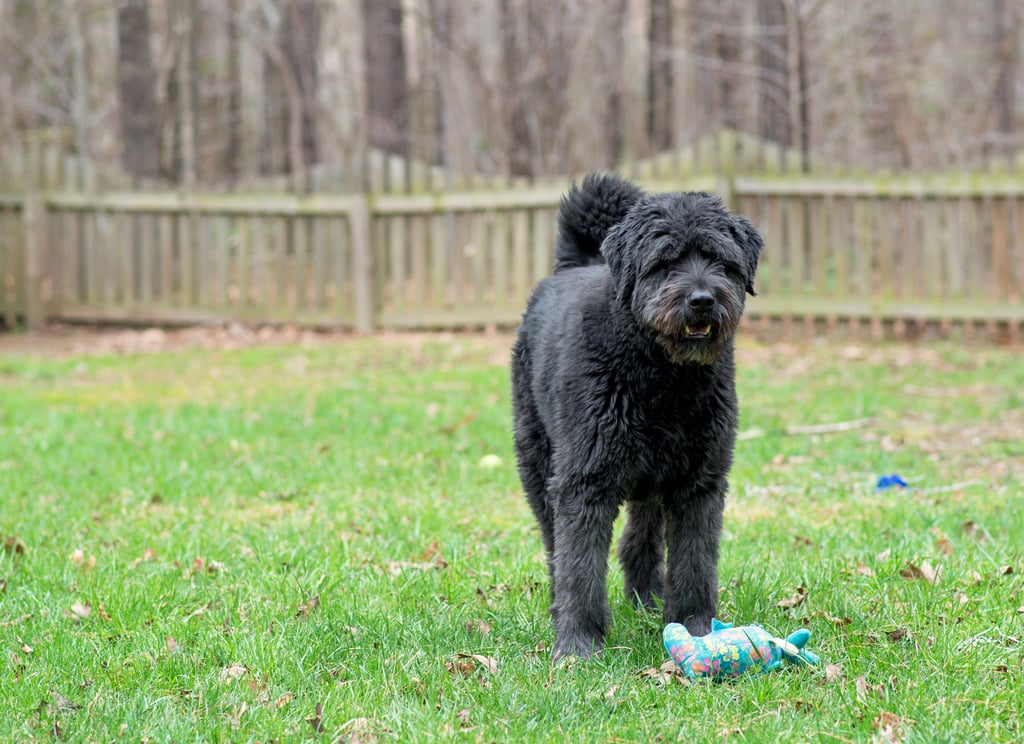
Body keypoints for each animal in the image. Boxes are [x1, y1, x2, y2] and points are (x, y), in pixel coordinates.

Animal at [512, 172, 761, 659]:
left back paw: (646, 597)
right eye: (665, 262)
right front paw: (578, 643)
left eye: (720, 260)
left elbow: (695, 561)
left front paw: (696, 629)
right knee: (554, 546)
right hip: (537, 462)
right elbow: (579, 567)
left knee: (639, 538)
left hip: (650, 477)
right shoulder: (584, 481)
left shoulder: (698, 482)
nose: (702, 300)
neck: (664, 377)